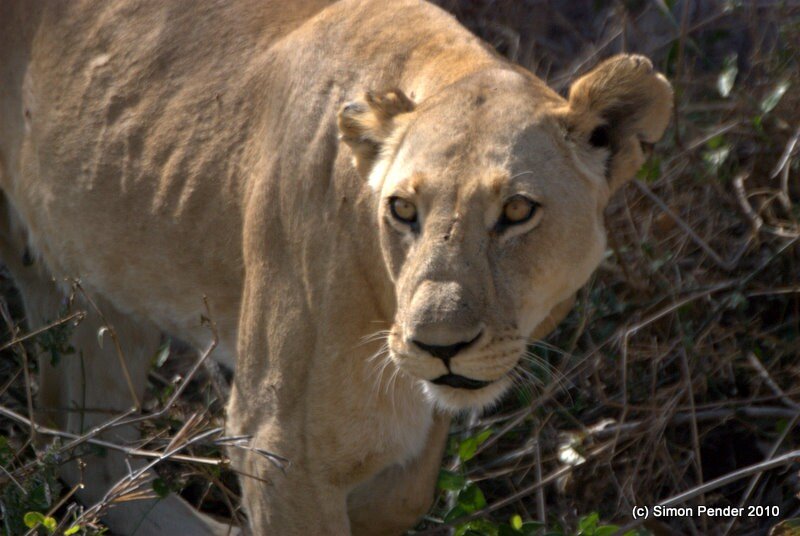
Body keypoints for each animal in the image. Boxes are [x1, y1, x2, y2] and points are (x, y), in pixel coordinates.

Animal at [0, 0, 672, 534]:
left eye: (516, 210)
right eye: (403, 209)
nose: (439, 347)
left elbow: (400, 495)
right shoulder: (277, 444)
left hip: (101, 292)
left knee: (86, 449)